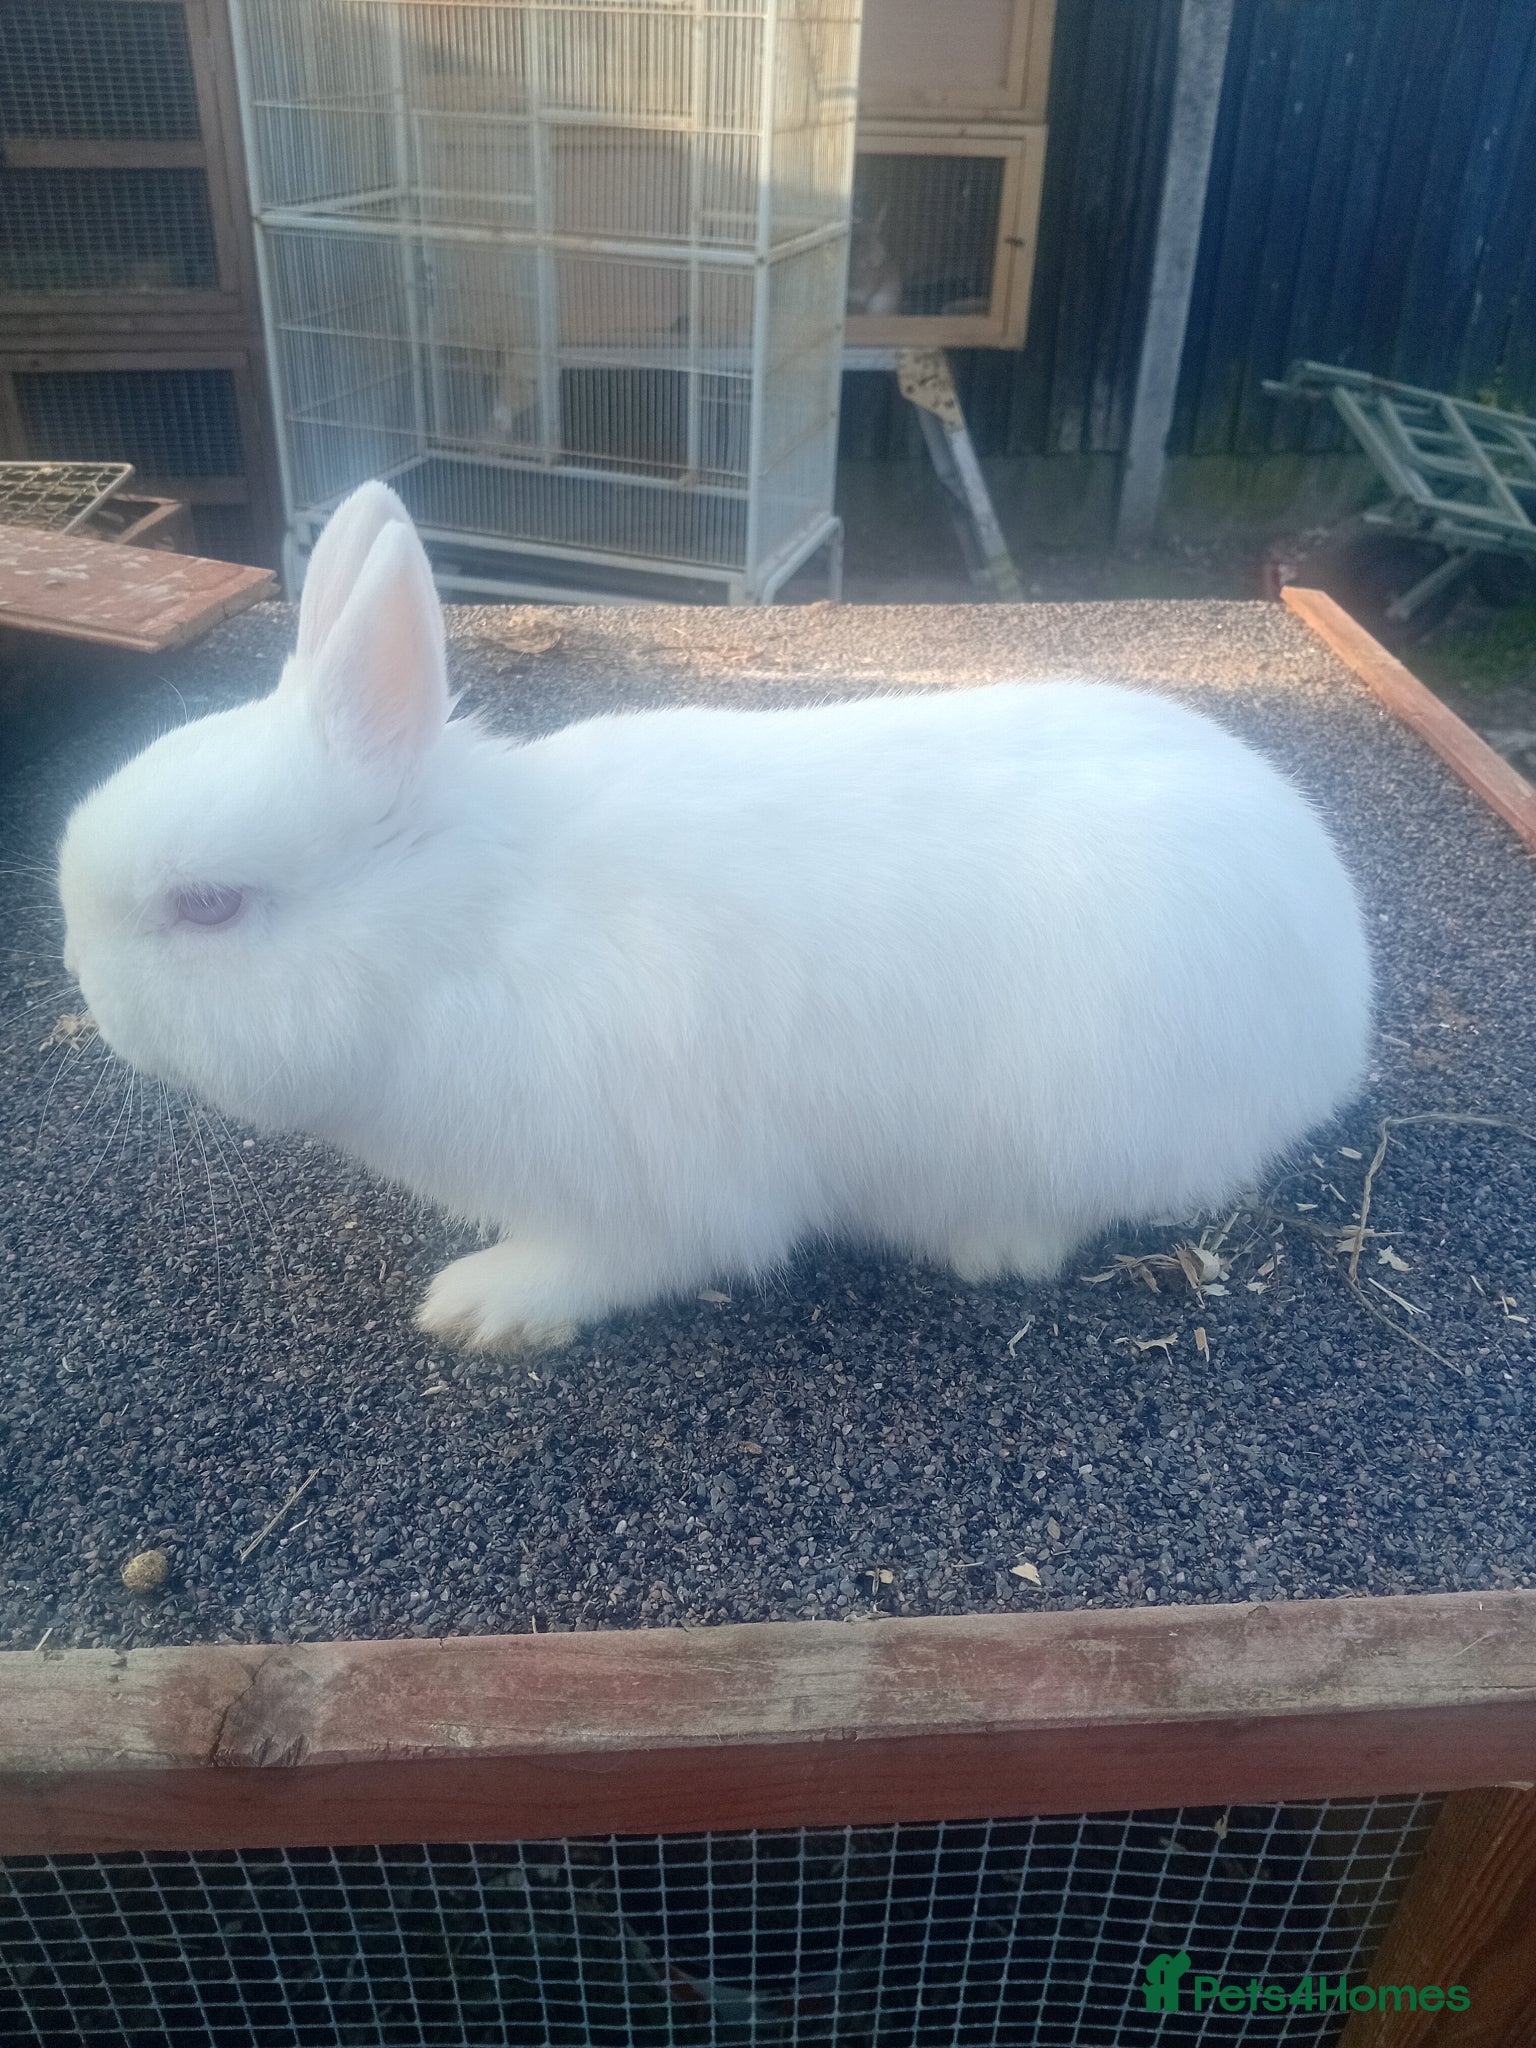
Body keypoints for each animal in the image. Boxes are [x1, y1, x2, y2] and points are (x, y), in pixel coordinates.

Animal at [57, 482, 1372, 1355]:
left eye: (210, 904)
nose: (85, 989)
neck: (457, 936)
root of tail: (1341, 1006)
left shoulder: (645, 1188)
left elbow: (607, 1263)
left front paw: (481, 1305)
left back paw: (988, 1242)